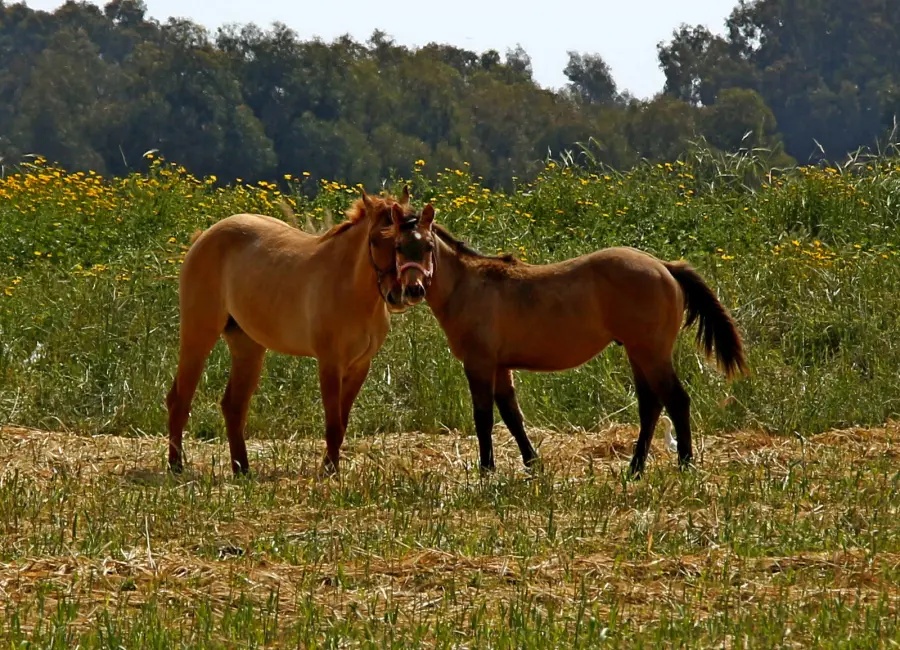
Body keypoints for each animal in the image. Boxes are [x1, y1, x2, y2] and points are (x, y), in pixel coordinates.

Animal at [166, 188, 415, 476]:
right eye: (375, 240)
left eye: (411, 241)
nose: (397, 295)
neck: (351, 289)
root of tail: (203, 237)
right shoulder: (330, 363)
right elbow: (333, 424)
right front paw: (329, 471)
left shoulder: (360, 366)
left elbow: (342, 422)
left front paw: (331, 467)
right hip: (198, 336)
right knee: (179, 400)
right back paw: (176, 466)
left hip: (247, 347)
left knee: (233, 406)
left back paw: (242, 470)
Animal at [388, 205, 747, 476]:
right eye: (399, 247)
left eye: (428, 247)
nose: (412, 290)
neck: (470, 286)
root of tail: (664, 266)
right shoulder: (500, 367)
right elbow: (512, 416)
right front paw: (532, 463)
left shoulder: (480, 363)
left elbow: (484, 417)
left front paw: (487, 470)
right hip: (639, 353)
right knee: (651, 405)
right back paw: (635, 468)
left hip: (651, 353)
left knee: (676, 400)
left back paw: (684, 464)